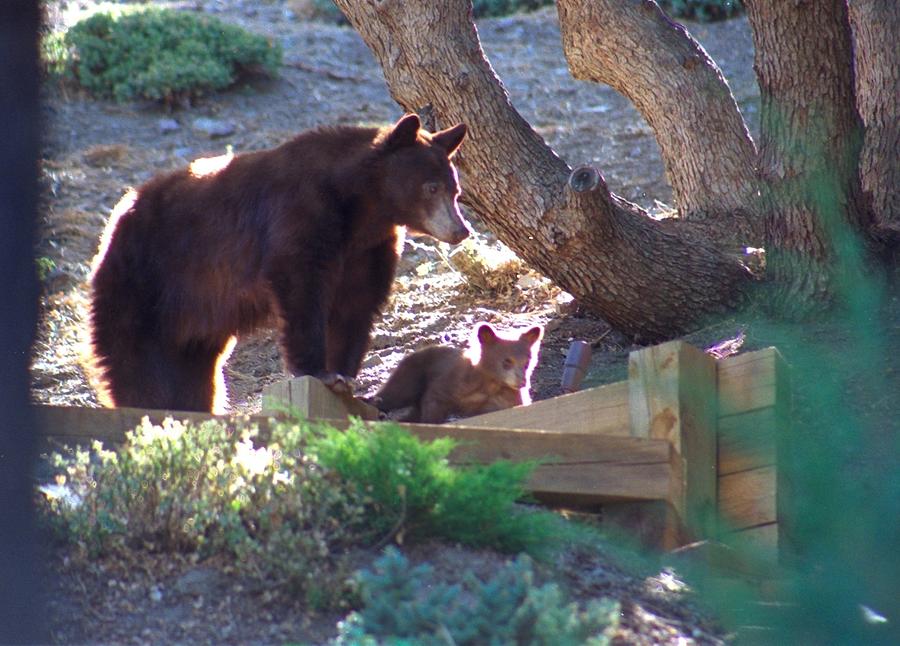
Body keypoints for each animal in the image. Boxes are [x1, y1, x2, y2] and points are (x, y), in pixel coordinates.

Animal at [89, 114, 472, 412]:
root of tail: (117, 219)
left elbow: (355, 305)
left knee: (195, 378)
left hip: (190, 327)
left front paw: (349, 380)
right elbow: (303, 289)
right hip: (142, 285)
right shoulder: (301, 215)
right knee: (136, 366)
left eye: (455, 191)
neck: (360, 207)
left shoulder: (367, 248)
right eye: (431, 187)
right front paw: (320, 371)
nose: (461, 229)